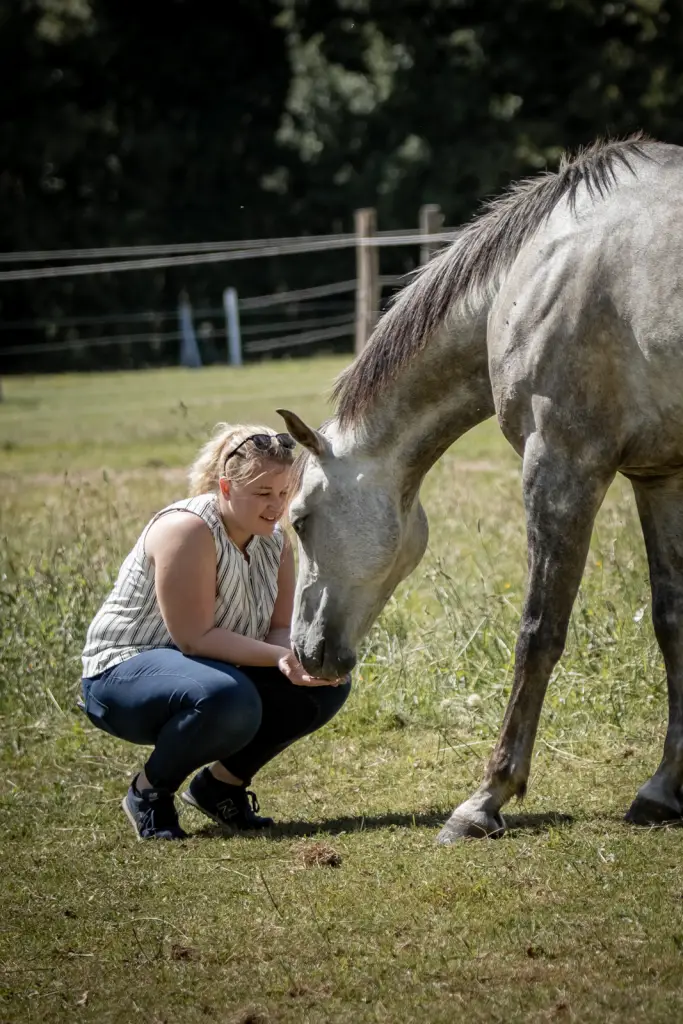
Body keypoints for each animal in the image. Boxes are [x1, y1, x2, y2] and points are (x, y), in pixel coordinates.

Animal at [277, 135, 683, 843]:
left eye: (300, 520)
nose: (306, 651)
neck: (534, 276)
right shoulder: (658, 475)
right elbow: (673, 620)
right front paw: (663, 788)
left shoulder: (562, 465)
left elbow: (538, 632)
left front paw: (486, 798)